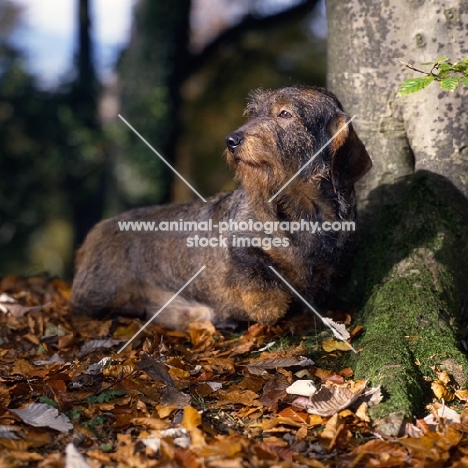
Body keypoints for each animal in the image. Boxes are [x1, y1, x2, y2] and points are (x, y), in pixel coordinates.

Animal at [71, 87, 372, 330]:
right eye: (254, 112)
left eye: (284, 113)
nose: (231, 140)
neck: (303, 210)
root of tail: (94, 234)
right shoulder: (240, 246)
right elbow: (261, 279)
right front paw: (265, 306)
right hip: (99, 296)